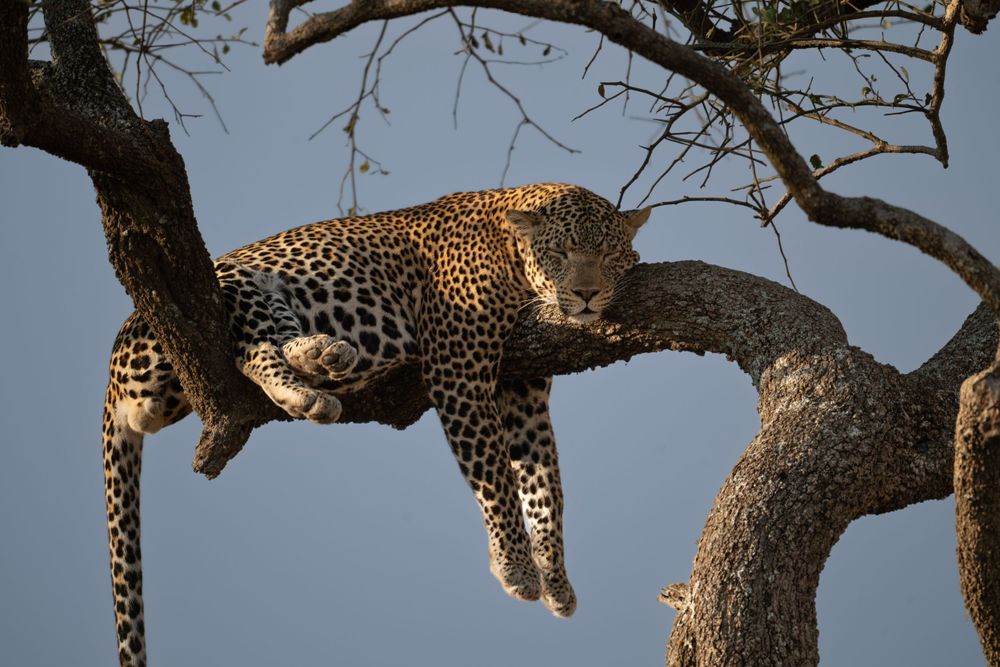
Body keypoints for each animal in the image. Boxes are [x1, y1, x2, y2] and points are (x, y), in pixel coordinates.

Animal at [100, 182, 650, 666]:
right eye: (560, 252)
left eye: (608, 254)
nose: (585, 294)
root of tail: (116, 355)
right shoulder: (458, 368)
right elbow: (493, 473)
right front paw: (514, 565)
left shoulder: (524, 394)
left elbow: (545, 487)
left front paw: (555, 579)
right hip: (234, 279)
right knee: (251, 352)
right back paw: (310, 391)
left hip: (267, 297)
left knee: (278, 341)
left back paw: (326, 354)